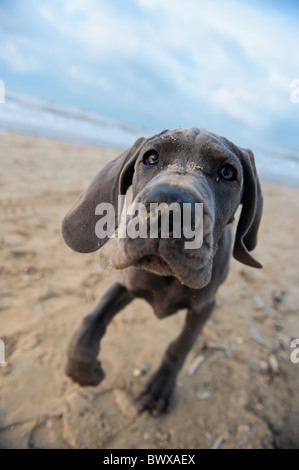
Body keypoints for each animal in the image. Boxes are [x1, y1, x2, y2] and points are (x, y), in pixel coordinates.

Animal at [62, 127, 262, 414]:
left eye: (227, 172)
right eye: (151, 157)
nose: (168, 206)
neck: (168, 278)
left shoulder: (203, 307)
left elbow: (180, 346)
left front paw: (159, 388)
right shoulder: (124, 284)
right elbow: (88, 325)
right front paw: (85, 371)